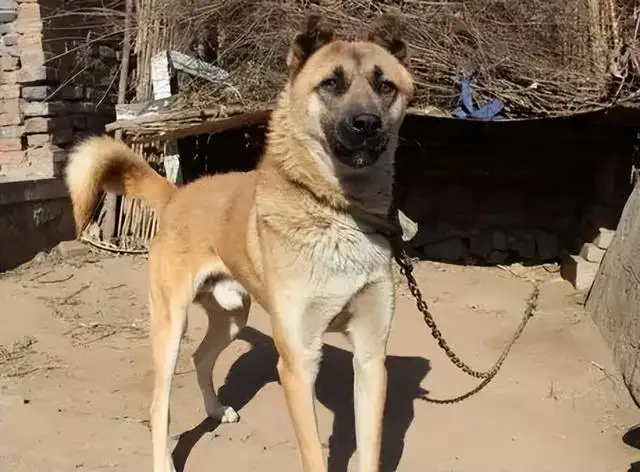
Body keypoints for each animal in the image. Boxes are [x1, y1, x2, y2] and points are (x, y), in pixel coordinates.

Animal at [66, 12, 416, 472]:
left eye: (385, 85)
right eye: (331, 84)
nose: (367, 124)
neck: (338, 213)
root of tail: (177, 195)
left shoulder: (371, 358)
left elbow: (370, 448)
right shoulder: (298, 363)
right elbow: (313, 455)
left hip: (232, 316)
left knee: (201, 357)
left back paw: (216, 410)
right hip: (170, 325)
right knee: (159, 404)